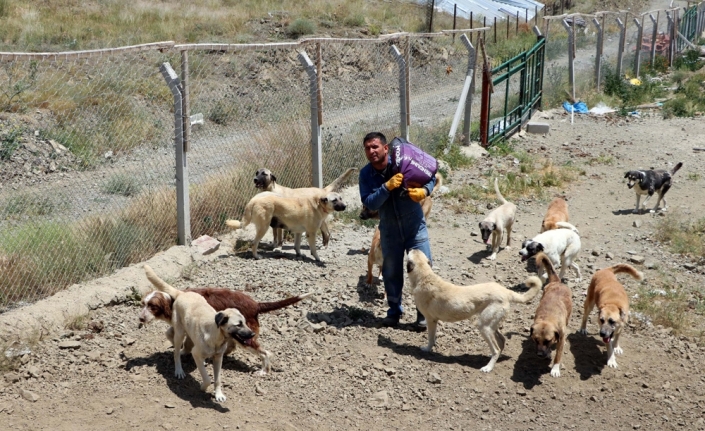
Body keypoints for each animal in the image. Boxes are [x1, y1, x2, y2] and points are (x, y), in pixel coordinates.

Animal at [140, 284, 310, 374]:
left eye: (152, 306)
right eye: (143, 303)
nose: (140, 319)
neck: (173, 299)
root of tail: (256, 304)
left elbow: (175, 337)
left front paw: (182, 351)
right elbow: (172, 334)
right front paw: (183, 350)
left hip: (246, 337)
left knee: (265, 352)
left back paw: (263, 371)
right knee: (233, 346)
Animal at [142, 264, 254, 404]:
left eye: (245, 322)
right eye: (238, 324)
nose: (253, 334)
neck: (216, 336)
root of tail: (183, 293)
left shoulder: (218, 358)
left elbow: (217, 379)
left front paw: (218, 394)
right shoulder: (196, 353)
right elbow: (207, 378)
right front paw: (202, 387)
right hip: (179, 333)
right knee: (176, 353)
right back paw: (179, 370)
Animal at [404, 248, 540, 372]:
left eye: (411, 252)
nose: (412, 247)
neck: (424, 275)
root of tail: (506, 291)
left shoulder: (431, 320)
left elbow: (430, 338)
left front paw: (427, 349)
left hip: (484, 326)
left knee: (496, 349)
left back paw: (488, 367)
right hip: (491, 325)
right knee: (501, 341)